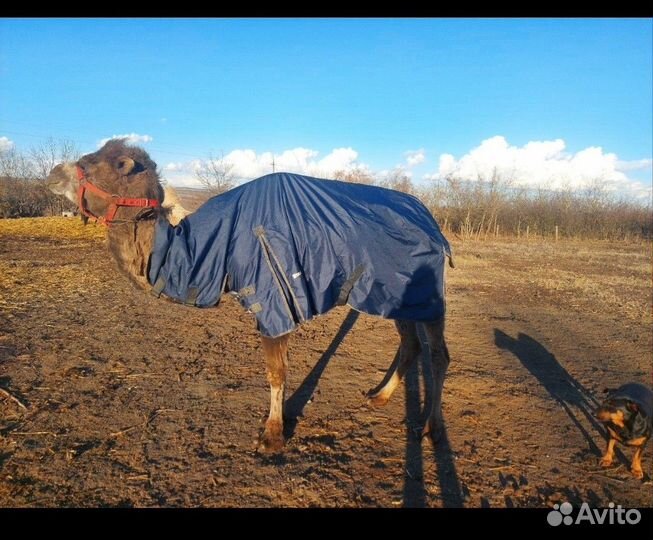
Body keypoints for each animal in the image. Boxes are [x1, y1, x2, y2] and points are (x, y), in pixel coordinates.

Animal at [47, 139, 454, 452]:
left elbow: (276, 371)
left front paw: (271, 437)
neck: (212, 247)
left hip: (427, 291)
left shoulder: (273, 300)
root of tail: (433, 222)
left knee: (438, 353)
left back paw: (431, 429)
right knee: (410, 343)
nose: (53, 172)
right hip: (395, 291)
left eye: (109, 163)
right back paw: (380, 396)